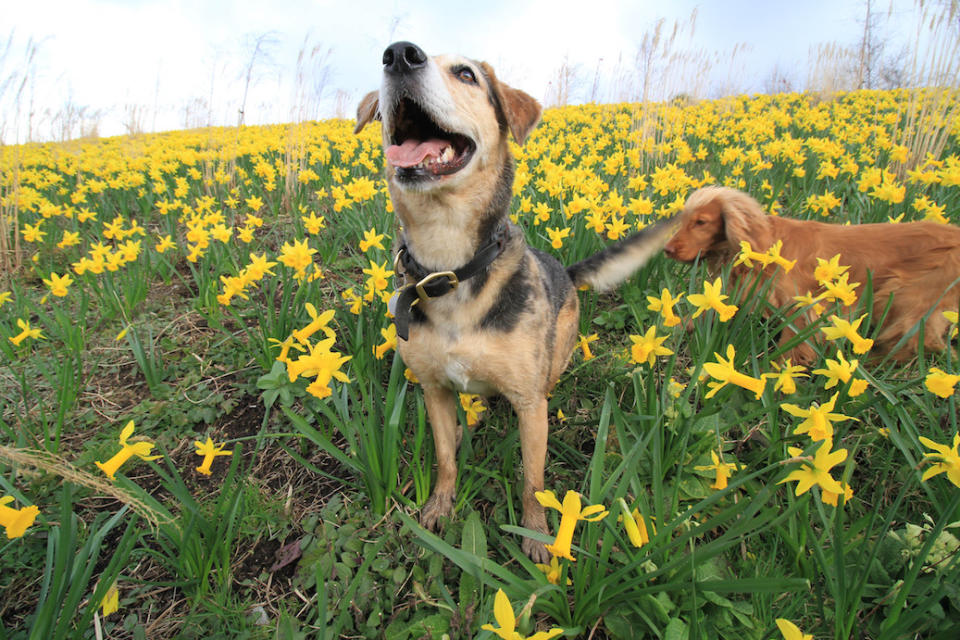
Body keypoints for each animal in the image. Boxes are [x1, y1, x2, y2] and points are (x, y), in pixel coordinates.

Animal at [354, 41, 676, 560]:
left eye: (466, 74)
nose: (400, 55)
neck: (451, 266)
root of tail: (566, 270)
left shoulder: (528, 404)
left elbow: (532, 480)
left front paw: (538, 536)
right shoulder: (435, 390)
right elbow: (444, 459)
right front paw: (440, 507)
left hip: (558, 351)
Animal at [668, 188, 960, 362]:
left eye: (701, 222)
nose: (667, 249)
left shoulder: (804, 306)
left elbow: (790, 348)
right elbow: (699, 313)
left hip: (907, 295)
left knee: (914, 341)